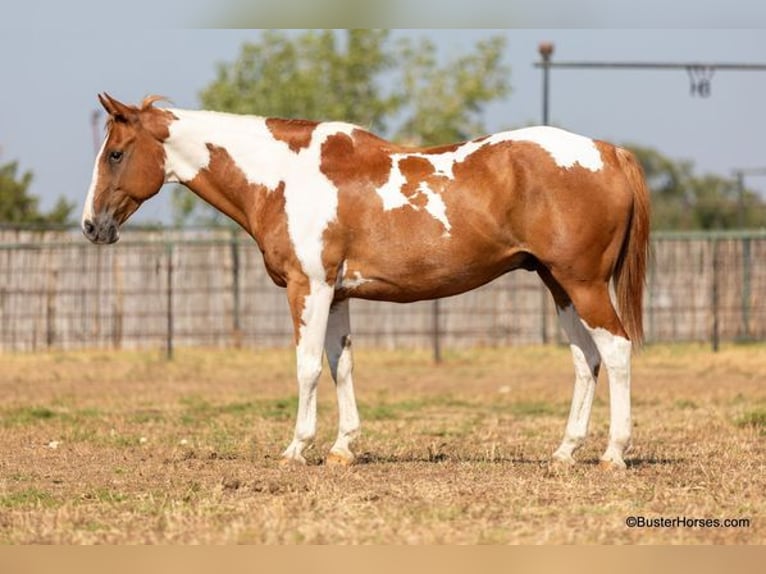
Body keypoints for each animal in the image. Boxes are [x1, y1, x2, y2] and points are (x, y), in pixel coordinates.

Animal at [82, 94, 648, 470]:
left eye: (115, 153)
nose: (92, 226)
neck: (284, 176)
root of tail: (607, 152)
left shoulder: (307, 288)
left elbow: (308, 368)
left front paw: (297, 448)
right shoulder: (336, 295)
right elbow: (342, 365)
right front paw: (342, 448)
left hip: (584, 285)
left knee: (616, 351)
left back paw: (614, 454)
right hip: (559, 286)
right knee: (585, 359)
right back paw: (565, 452)